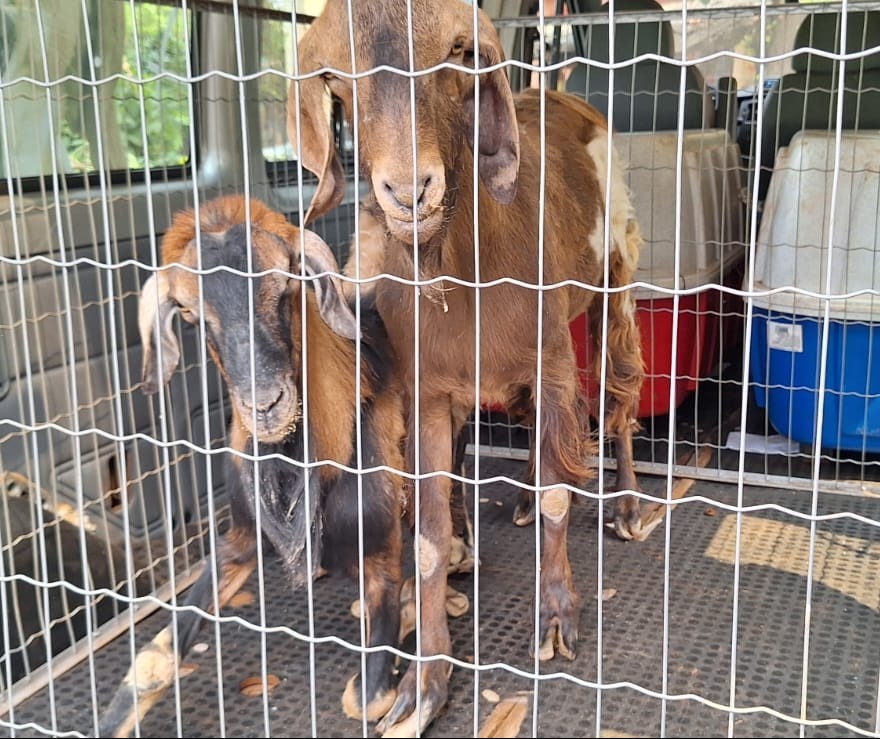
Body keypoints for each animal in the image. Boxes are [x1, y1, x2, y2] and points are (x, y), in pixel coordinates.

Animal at [97, 197, 410, 739]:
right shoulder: (239, 538)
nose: (266, 406)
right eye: (191, 314)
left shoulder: (382, 553)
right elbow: (154, 659)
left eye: (287, 285)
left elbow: (364, 701)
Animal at [288, 2, 648, 736]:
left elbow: (563, 490)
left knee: (620, 393)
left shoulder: (553, 359)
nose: (409, 191)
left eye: (458, 52)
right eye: (336, 74)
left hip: (614, 275)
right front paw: (423, 684)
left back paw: (625, 504)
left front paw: (557, 617)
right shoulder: (427, 390)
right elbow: (426, 537)